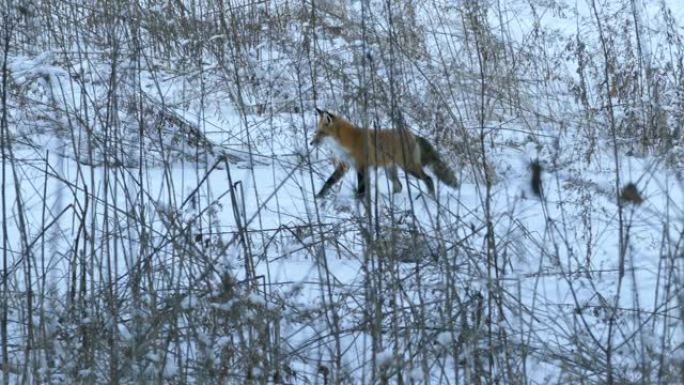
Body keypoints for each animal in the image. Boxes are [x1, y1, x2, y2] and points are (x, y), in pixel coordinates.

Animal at [310, 108, 460, 198]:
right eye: (316, 132)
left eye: (321, 133)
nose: (311, 143)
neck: (345, 142)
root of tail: (413, 135)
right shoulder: (344, 165)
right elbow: (329, 182)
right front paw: (318, 197)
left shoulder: (361, 166)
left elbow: (361, 187)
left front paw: (358, 200)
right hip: (391, 170)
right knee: (399, 186)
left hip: (409, 167)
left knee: (428, 179)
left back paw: (431, 197)